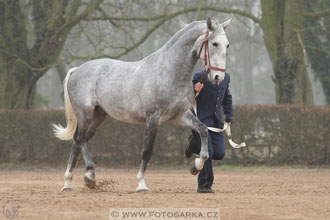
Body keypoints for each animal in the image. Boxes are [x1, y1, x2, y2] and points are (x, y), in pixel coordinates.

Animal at [52, 18, 232, 192]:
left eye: (227, 45)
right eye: (215, 43)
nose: (218, 77)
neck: (169, 72)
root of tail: (76, 70)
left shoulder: (180, 115)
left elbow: (203, 130)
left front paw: (196, 165)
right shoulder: (153, 119)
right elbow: (147, 151)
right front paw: (141, 184)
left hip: (98, 117)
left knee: (77, 143)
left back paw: (69, 182)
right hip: (85, 115)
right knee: (79, 139)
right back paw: (89, 175)